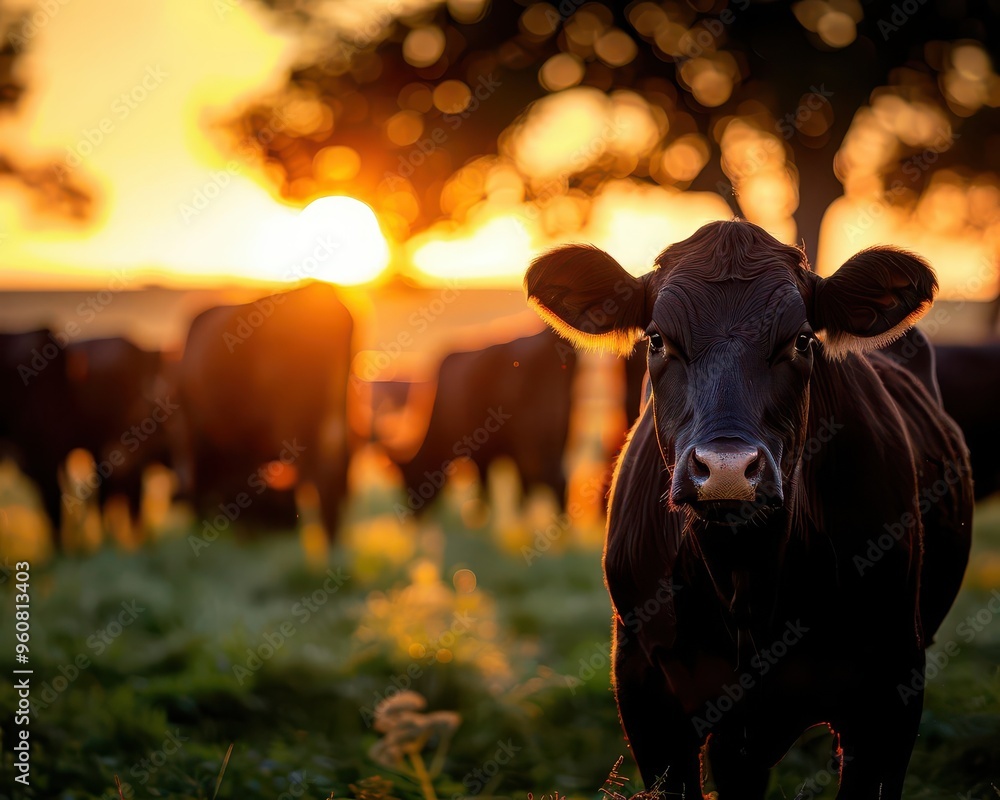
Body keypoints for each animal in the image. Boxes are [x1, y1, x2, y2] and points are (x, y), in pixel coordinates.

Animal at [392, 328, 577, 517]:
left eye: (410, 478)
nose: (413, 514)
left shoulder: (480, 450)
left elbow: (486, 486)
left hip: (533, 434)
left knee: (553, 478)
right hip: (559, 431)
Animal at [525, 219, 973, 798]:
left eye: (801, 339)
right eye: (657, 339)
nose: (727, 468)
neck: (745, 580)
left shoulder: (892, 685)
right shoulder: (646, 693)